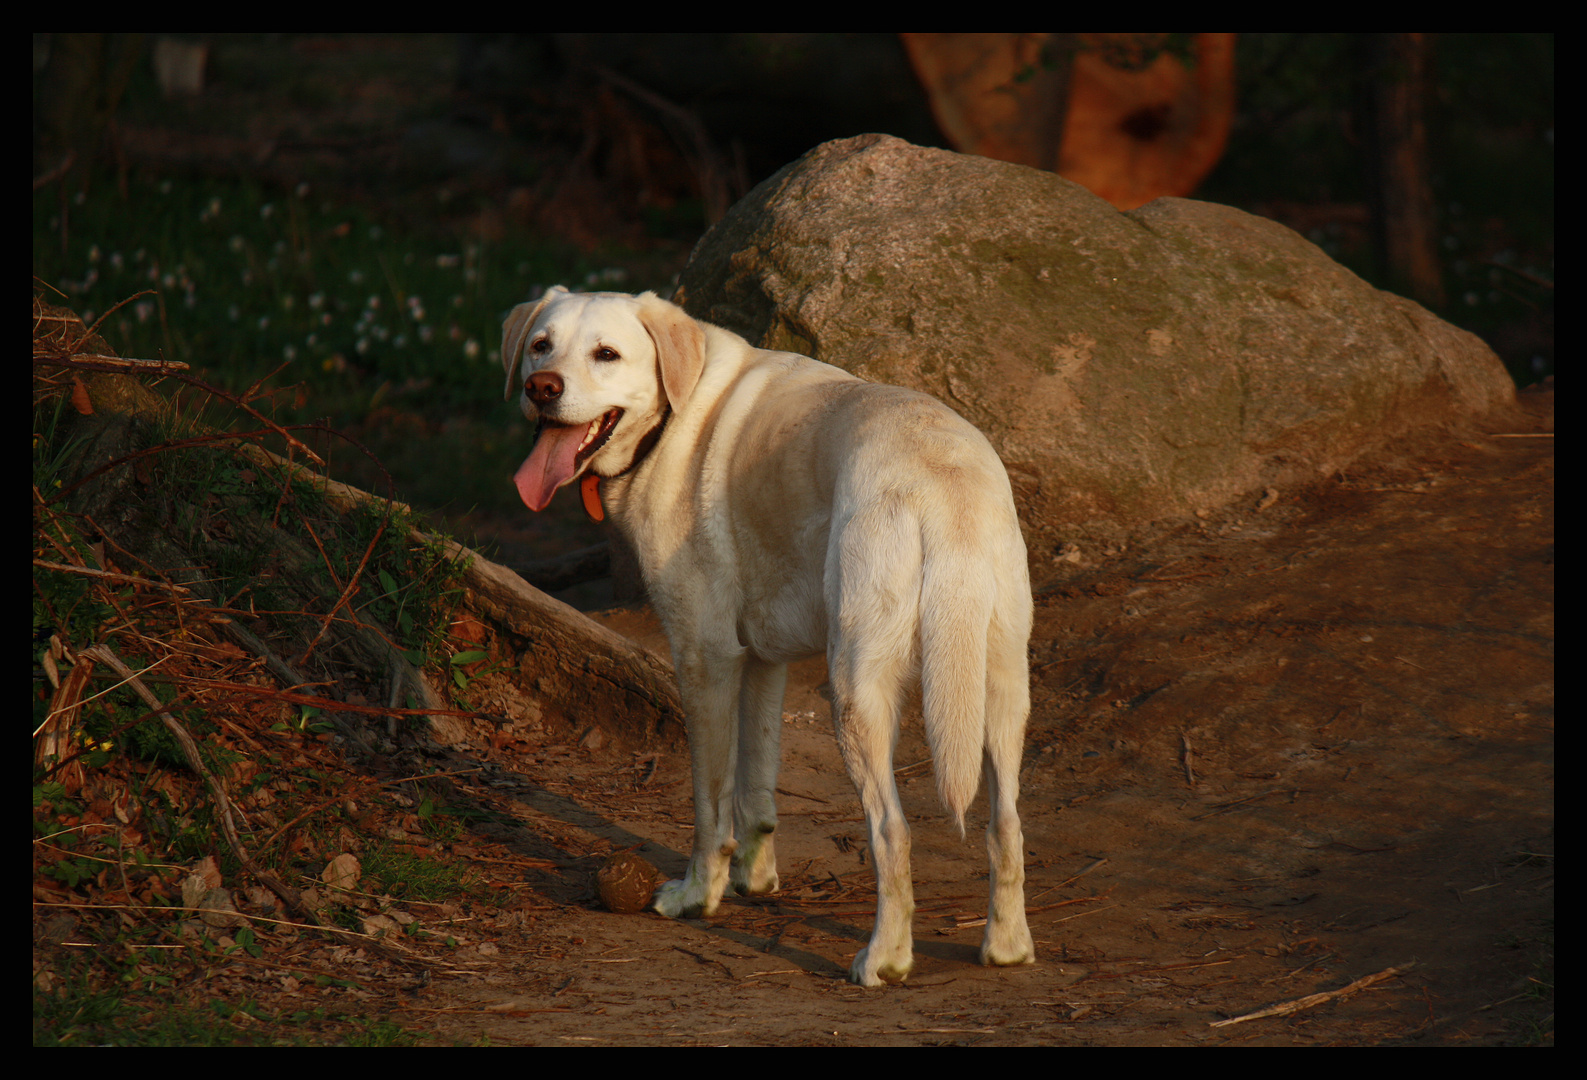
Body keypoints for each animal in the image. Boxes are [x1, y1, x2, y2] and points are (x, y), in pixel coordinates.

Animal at [501, 288, 1034, 983]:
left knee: (892, 831)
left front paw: (698, 896)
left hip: (856, 695)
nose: (541, 387)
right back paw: (1007, 946)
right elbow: (756, 786)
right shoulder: (760, 660)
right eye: (541, 345)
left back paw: (884, 959)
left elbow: (710, 802)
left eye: (606, 354)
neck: (674, 414)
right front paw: (755, 881)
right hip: (999, 692)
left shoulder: (704, 659)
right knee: (1007, 826)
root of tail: (945, 483)